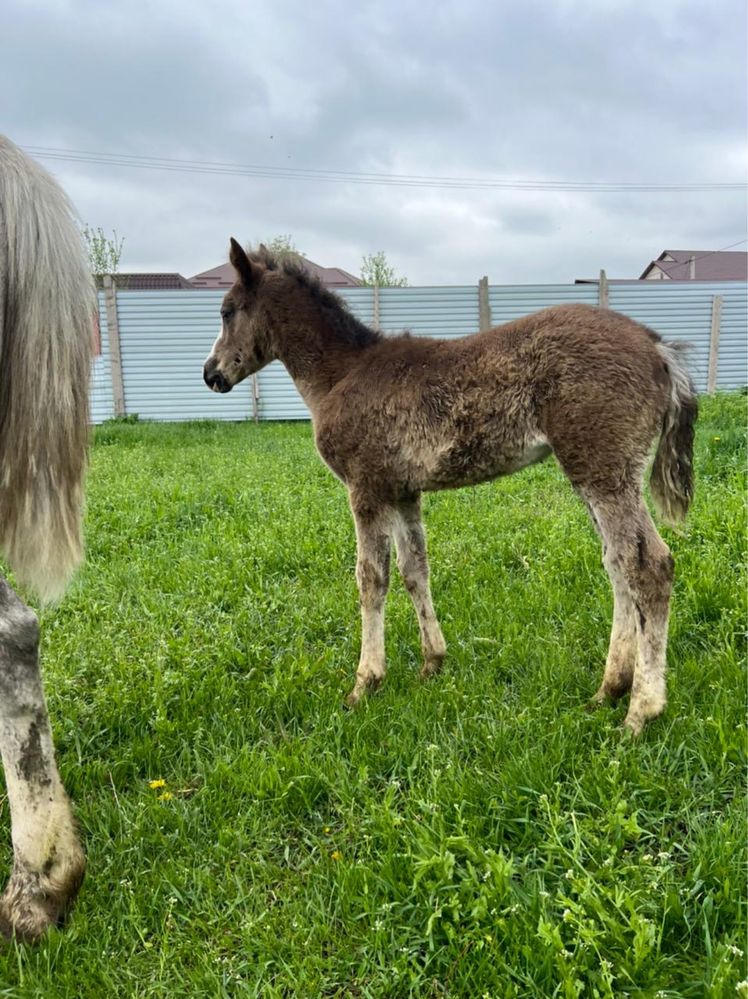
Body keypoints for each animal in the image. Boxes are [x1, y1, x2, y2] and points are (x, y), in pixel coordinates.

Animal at [203, 242, 696, 736]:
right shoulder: (403, 492)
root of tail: (657, 347)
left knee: (648, 566)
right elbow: (414, 570)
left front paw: (365, 683)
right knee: (617, 564)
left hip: (603, 469)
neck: (341, 374)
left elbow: (371, 579)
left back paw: (641, 710)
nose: (211, 374)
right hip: (594, 473)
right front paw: (432, 663)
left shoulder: (365, 488)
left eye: (227, 311)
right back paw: (609, 689)